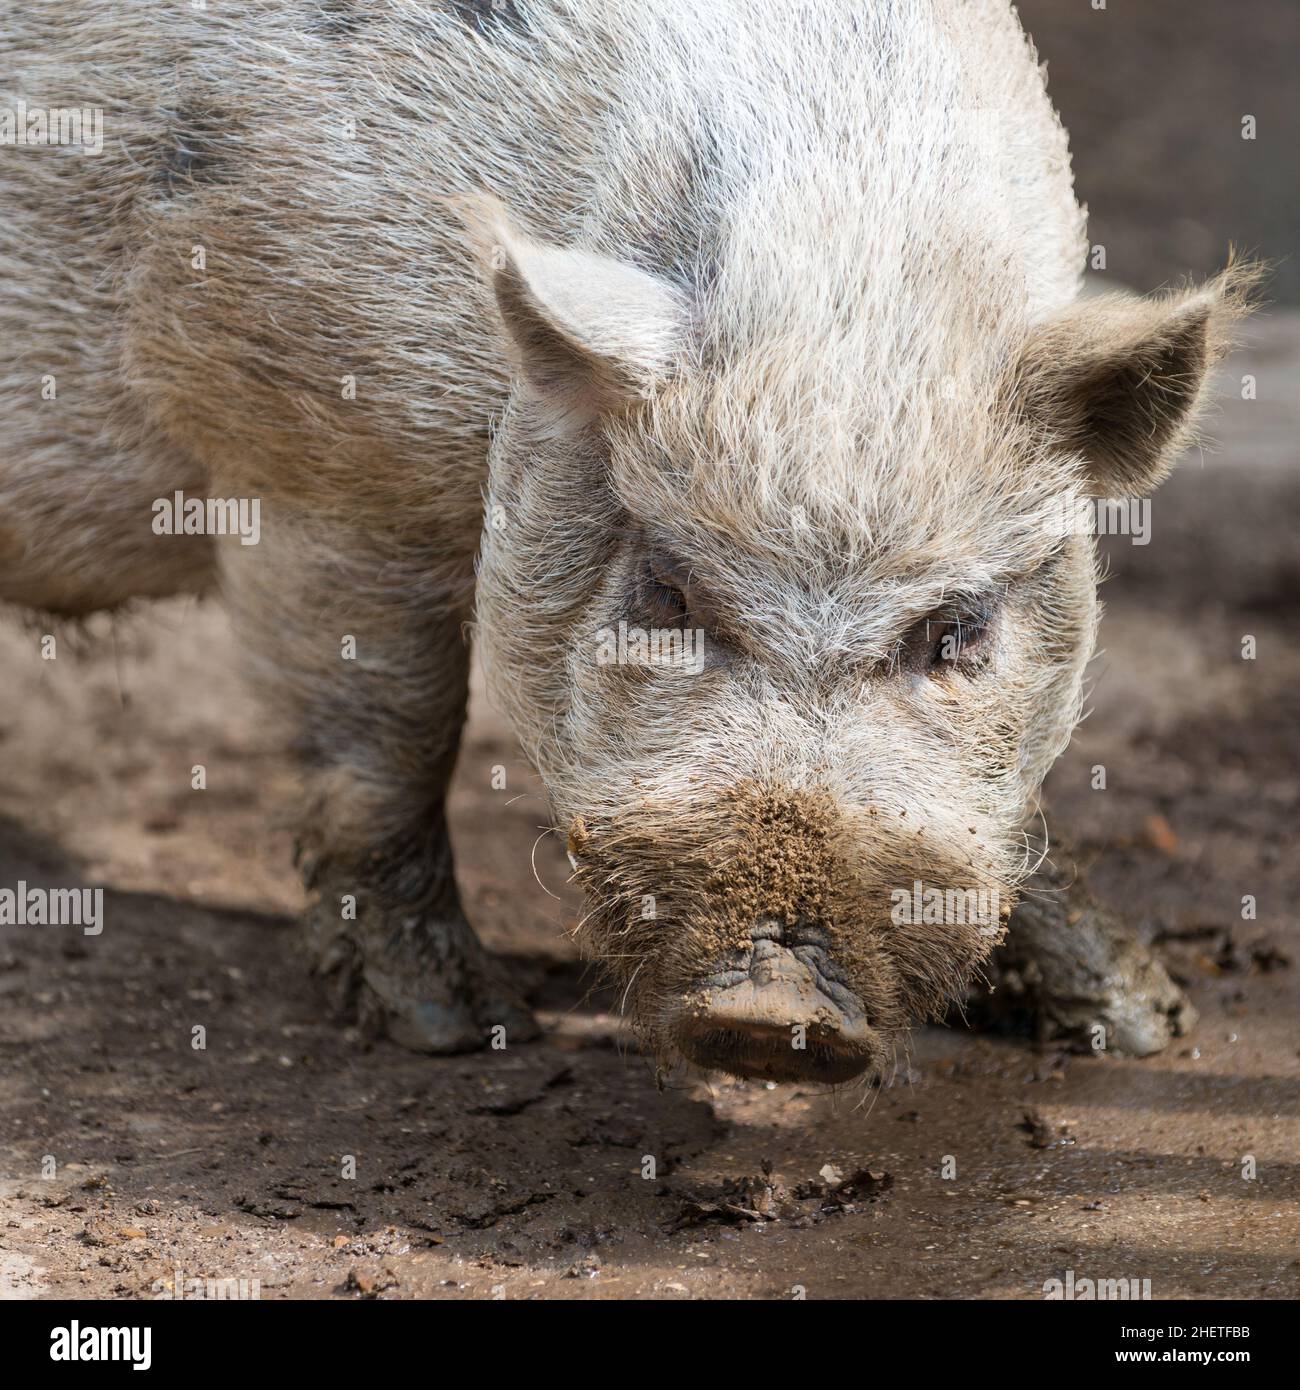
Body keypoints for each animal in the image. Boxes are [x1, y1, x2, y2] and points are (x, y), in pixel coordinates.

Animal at [0, 2, 1256, 1084]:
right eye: (665, 590)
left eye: (954, 631)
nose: (771, 1010)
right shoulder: (318, 461)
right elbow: (390, 741)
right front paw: (460, 1028)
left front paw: (1148, 1026)